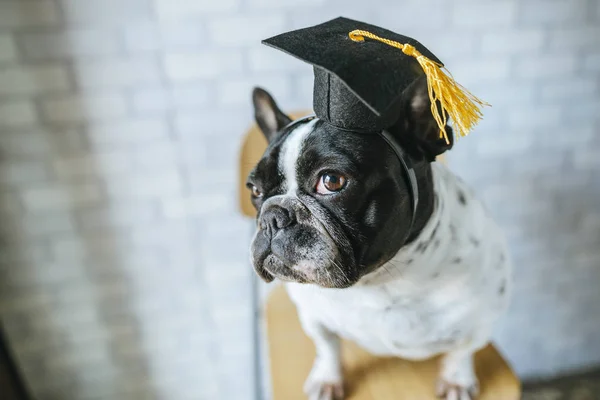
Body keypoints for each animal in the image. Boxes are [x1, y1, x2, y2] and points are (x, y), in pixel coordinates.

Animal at [245, 79, 510, 398]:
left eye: (332, 181)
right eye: (255, 190)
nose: (272, 217)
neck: (380, 282)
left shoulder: (481, 320)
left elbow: (462, 350)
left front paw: (456, 380)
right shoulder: (311, 316)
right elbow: (327, 345)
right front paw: (328, 377)